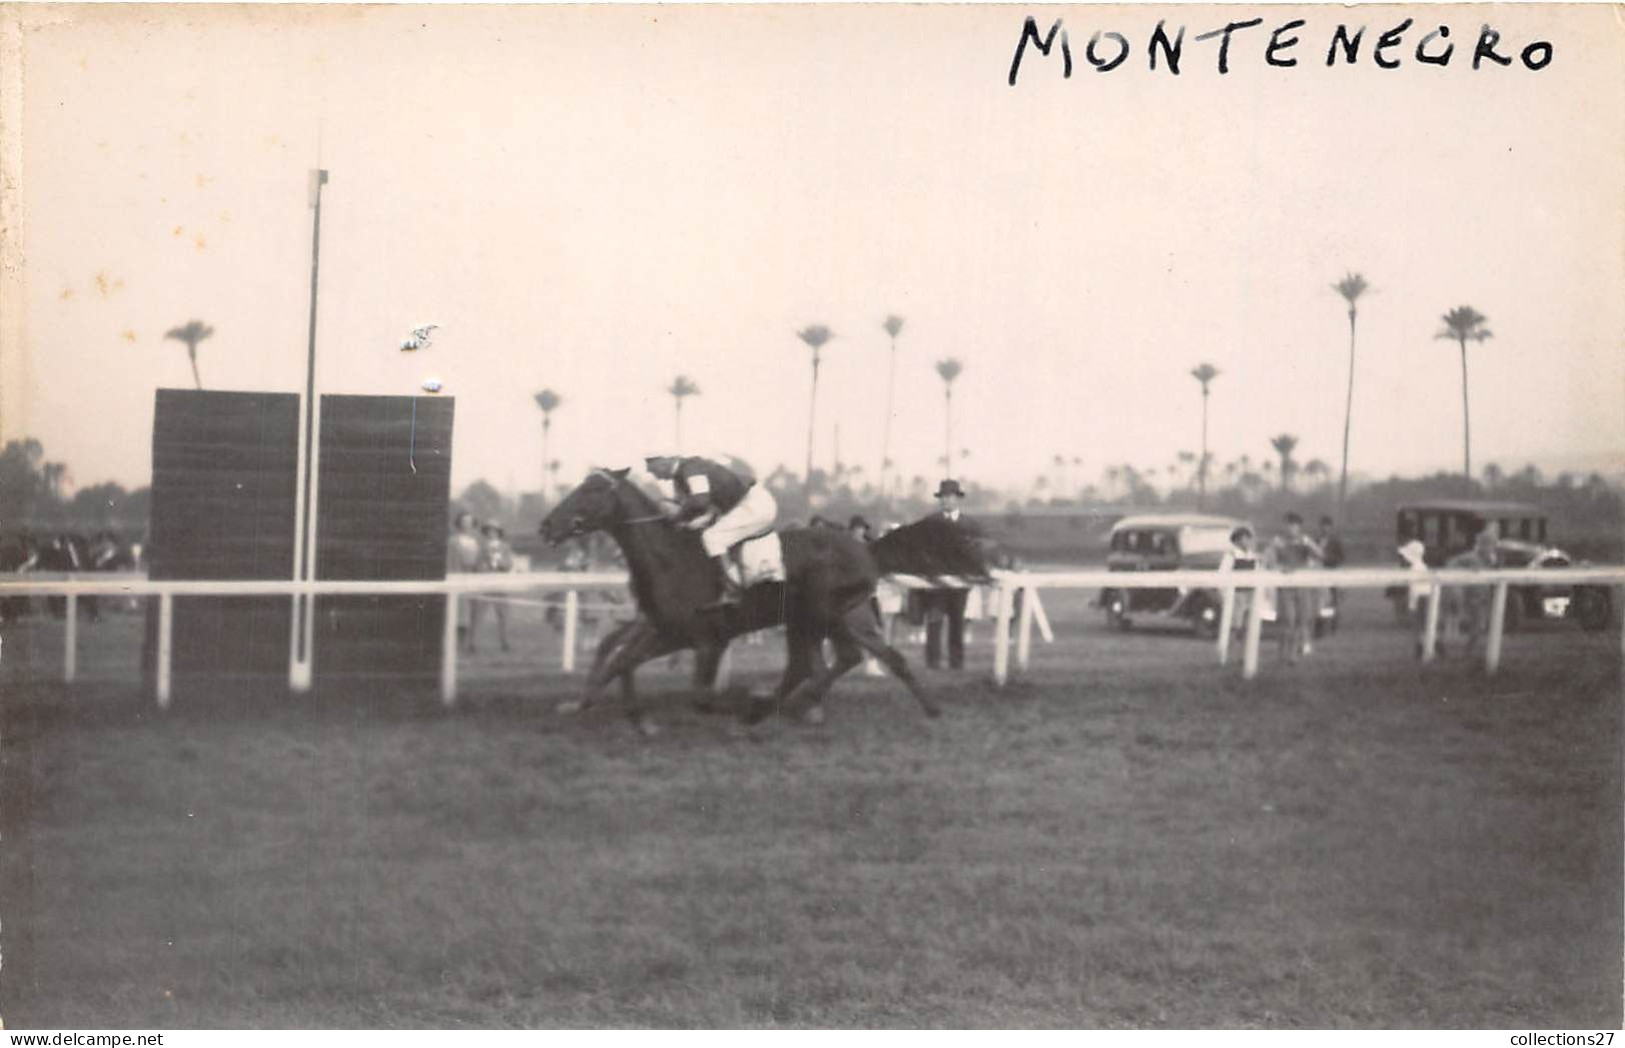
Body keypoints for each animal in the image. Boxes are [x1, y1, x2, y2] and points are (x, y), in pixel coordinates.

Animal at [539, 471, 936, 731]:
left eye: (592, 489)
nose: (546, 525)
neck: (671, 559)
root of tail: (866, 548)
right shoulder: (668, 631)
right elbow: (623, 659)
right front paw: (628, 715)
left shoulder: (706, 640)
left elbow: (699, 696)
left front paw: (740, 705)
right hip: (834, 616)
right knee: (852, 660)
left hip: (824, 614)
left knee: (832, 663)